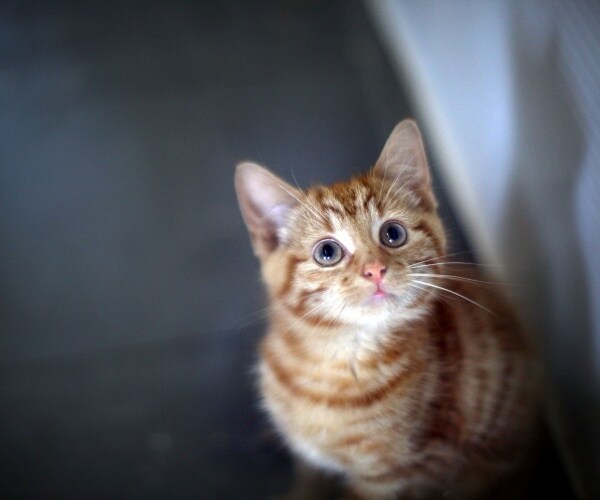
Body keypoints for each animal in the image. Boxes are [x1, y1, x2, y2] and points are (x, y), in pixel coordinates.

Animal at [233, 119, 540, 498]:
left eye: (393, 233)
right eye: (327, 252)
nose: (375, 270)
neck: (333, 364)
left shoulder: (394, 477)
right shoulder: (310, 460)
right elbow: (309, 482)